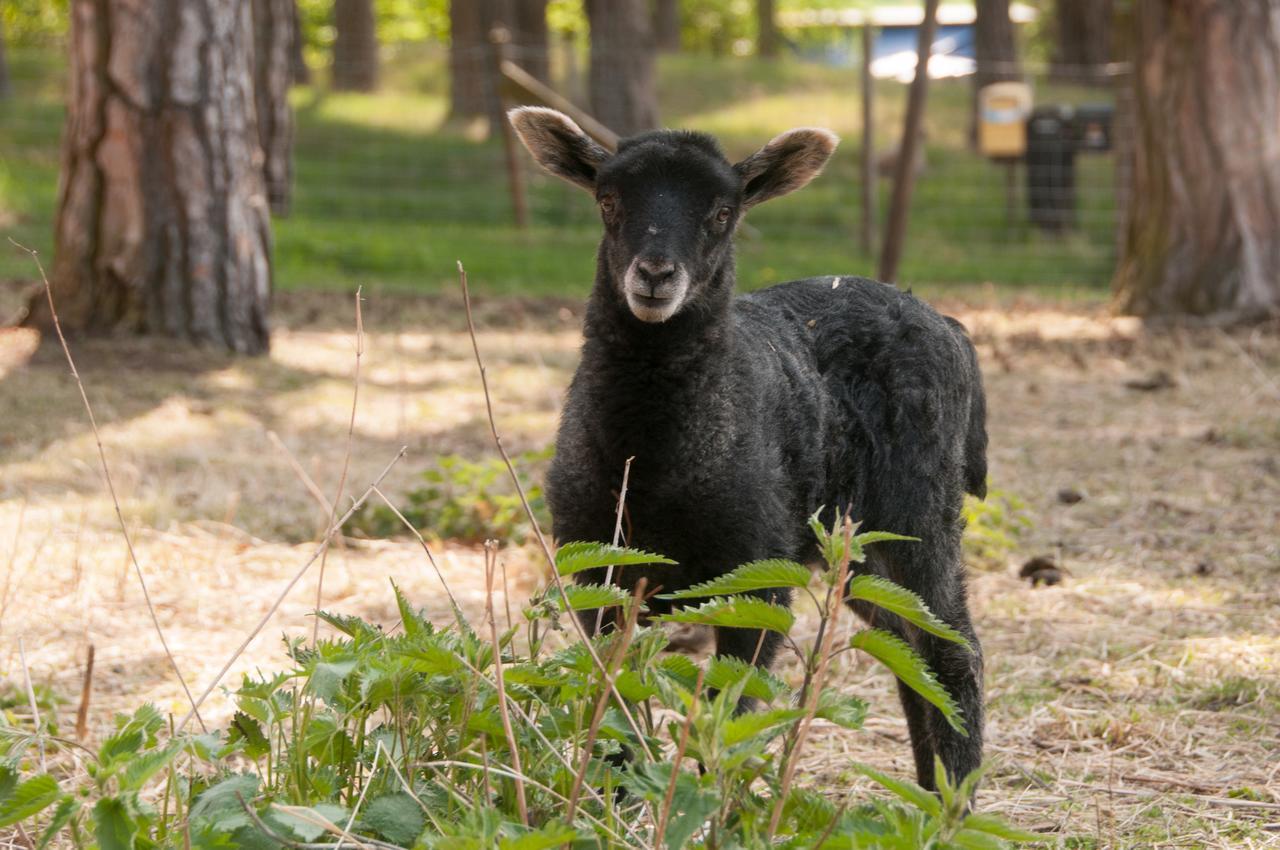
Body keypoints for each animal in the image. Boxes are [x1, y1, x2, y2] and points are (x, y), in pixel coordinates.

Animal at [509, 106, 988, 788]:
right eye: (607, 200)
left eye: (722, 212)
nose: (654, 276)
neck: (651, 460)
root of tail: (945, 322)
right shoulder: (599, 568)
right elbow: (615, 703)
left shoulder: (756, 575)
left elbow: (728, 715)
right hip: (856, 547)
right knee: (907, 645)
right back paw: (928, 790)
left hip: (920, 509)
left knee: (952, 649)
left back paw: (954, 798)